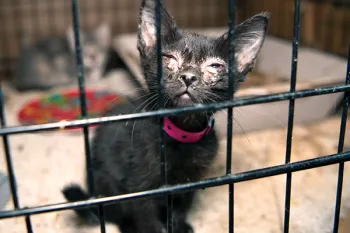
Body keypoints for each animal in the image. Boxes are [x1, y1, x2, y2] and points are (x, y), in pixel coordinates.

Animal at [63, 0, 270, 232]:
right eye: (169, 58)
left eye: (215, 66)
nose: (188, 77)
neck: (182, 134)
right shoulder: (139, 186)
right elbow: (145, 217)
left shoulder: (190, 182)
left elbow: (181, 207)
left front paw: (179, 225)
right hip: (105, 179)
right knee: (117, 214)